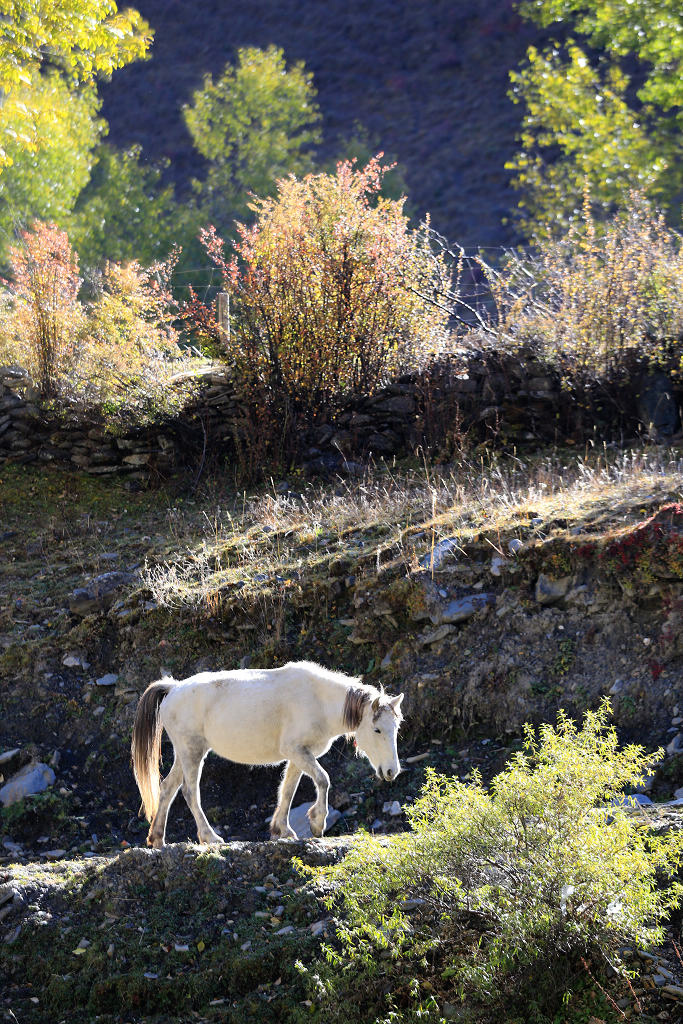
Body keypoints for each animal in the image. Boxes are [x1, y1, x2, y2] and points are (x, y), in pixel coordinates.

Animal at [131, 659, 403, 843]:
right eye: (377, 730)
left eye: (396, 728)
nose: (391, 771)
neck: (319, 701)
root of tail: (173, 688)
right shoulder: (296, 750)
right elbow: (323, 779)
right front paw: (317, 823)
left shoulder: (299, 755)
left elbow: (288, 790)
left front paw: (282, 830)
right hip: (192, 752)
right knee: (189, 792)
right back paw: (210, 837)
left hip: (187, 753)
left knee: (167, 788)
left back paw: (157, 839)